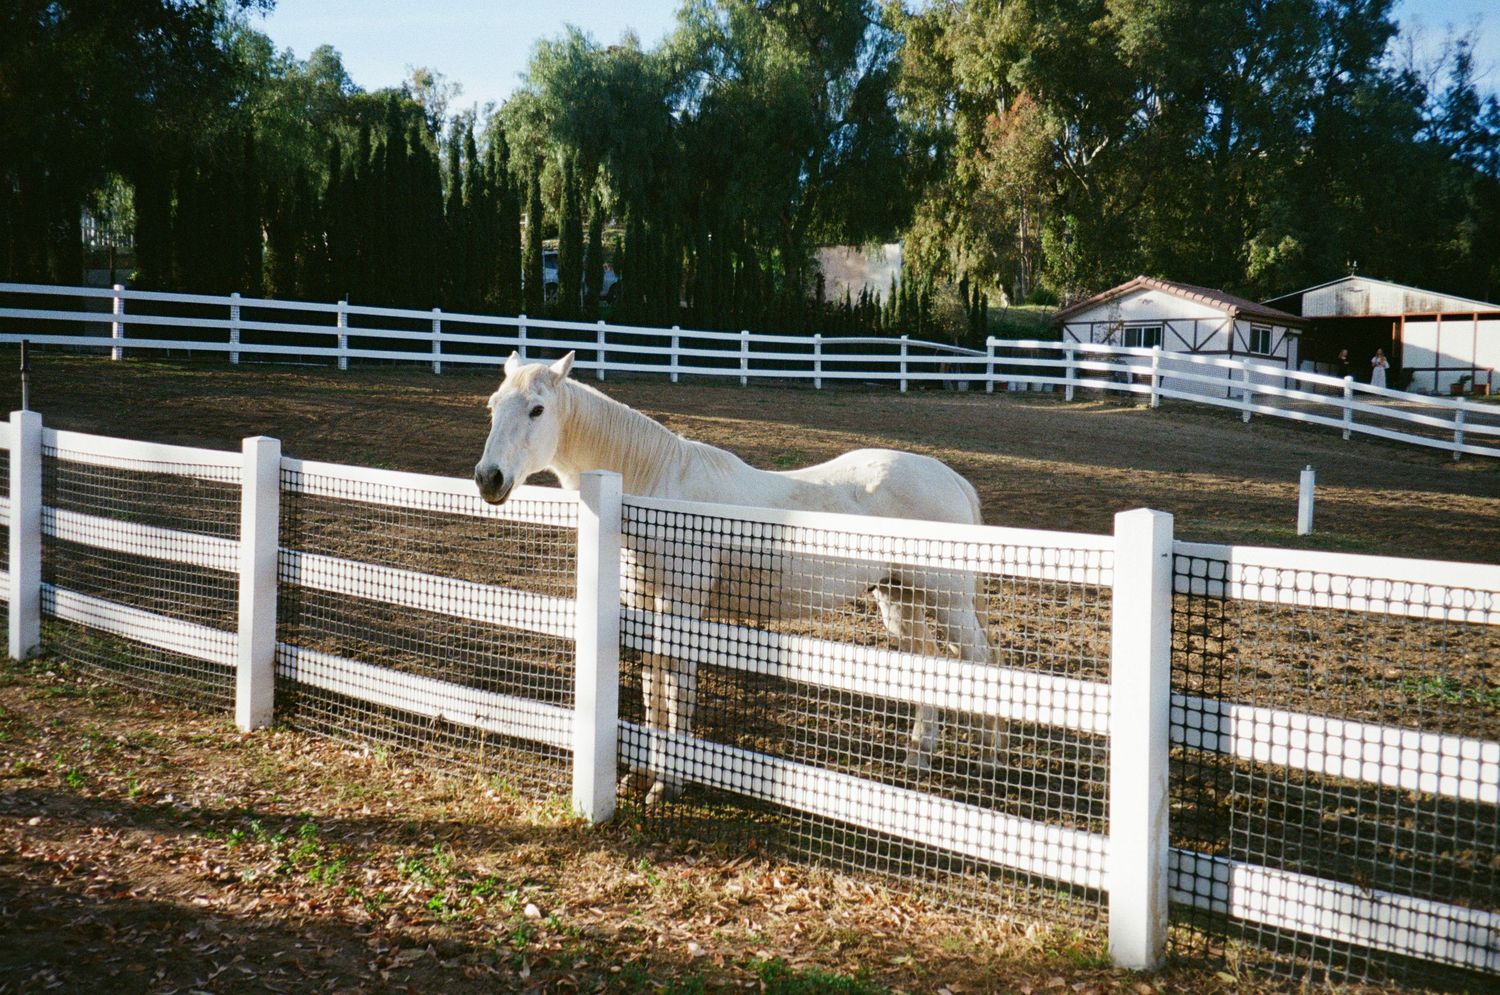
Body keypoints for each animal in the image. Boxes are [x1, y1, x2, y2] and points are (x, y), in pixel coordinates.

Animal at [474, 351, 996, 803]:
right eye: (493, 406)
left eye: (538, 409)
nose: (488, 479)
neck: (655, 490)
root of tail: (951, 479)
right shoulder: (644, 602)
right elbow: (652, 679)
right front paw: (642, 772)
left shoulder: (682, 603)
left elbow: (678, 682)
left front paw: (668, 782)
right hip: (898, 596)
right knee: (929, 663)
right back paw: (918, 757)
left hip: (946, 601)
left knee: (980, 659)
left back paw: (991, 759)